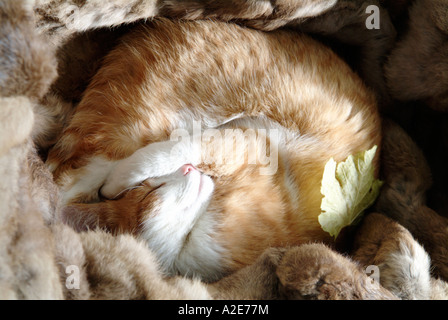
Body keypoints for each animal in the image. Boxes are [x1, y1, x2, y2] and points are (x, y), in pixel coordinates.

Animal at [46, 18, 382, 282]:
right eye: (151, 192)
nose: (189, 172)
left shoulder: (244, 141)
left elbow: (167, 153)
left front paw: (119, 182)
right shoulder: (244, 142)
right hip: (137, 125)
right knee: (63, 174)